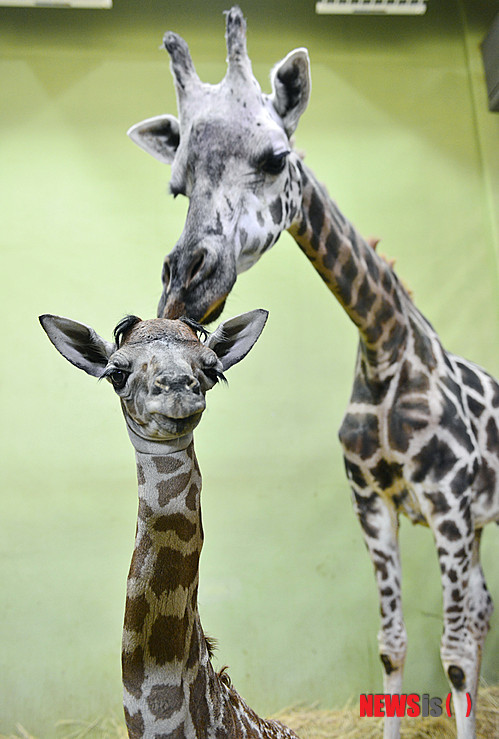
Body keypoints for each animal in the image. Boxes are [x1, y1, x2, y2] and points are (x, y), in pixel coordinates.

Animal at [129, 7, 499, 739]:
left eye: (276, 158)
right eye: (177, 184)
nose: (185, 286)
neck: (384, 344)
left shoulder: (443, 502)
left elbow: (449, 652)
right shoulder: (372, 502)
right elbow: (392, 643)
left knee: (470, 625)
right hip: (472, 525)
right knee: (479, 608)